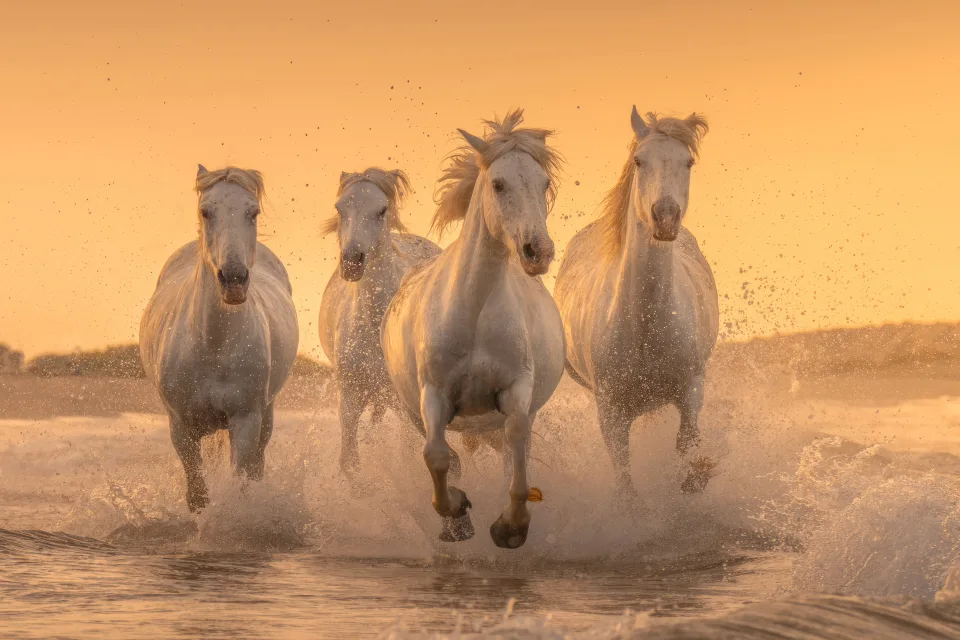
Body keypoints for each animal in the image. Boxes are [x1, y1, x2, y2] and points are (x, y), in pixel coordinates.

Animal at [140, 165, 299, 512]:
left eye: (253, 212)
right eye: (205, 211)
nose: (234, 280)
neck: (212, 345)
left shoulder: (246, 421)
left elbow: (240, 485)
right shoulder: (182, 427)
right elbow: (198, 495)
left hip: (266, 416)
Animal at [318, 168, 448, 477]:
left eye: (382, 210)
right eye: (340, 208)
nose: (352, 261)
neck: (374, 324)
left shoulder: (407, 402)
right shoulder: (350, 394)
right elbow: (349, 462)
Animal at [381, 109, 565, 549]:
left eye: (544, 183)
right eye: (498, 184)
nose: (538, 251)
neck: (475, 311)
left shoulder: (515, 388)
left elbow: (517, 444)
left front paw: (511, 527)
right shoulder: (434, 394)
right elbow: (436, 456)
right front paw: (456, 515)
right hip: (414, 410)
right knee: (448, 455)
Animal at [553, 107, 719, 499]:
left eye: (688, 161)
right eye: (639, 161)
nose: (666, 217)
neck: (645, 322)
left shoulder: (692, 388)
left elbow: (686, 444)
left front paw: (691, 480)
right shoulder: (610, 409)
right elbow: (625, 481)